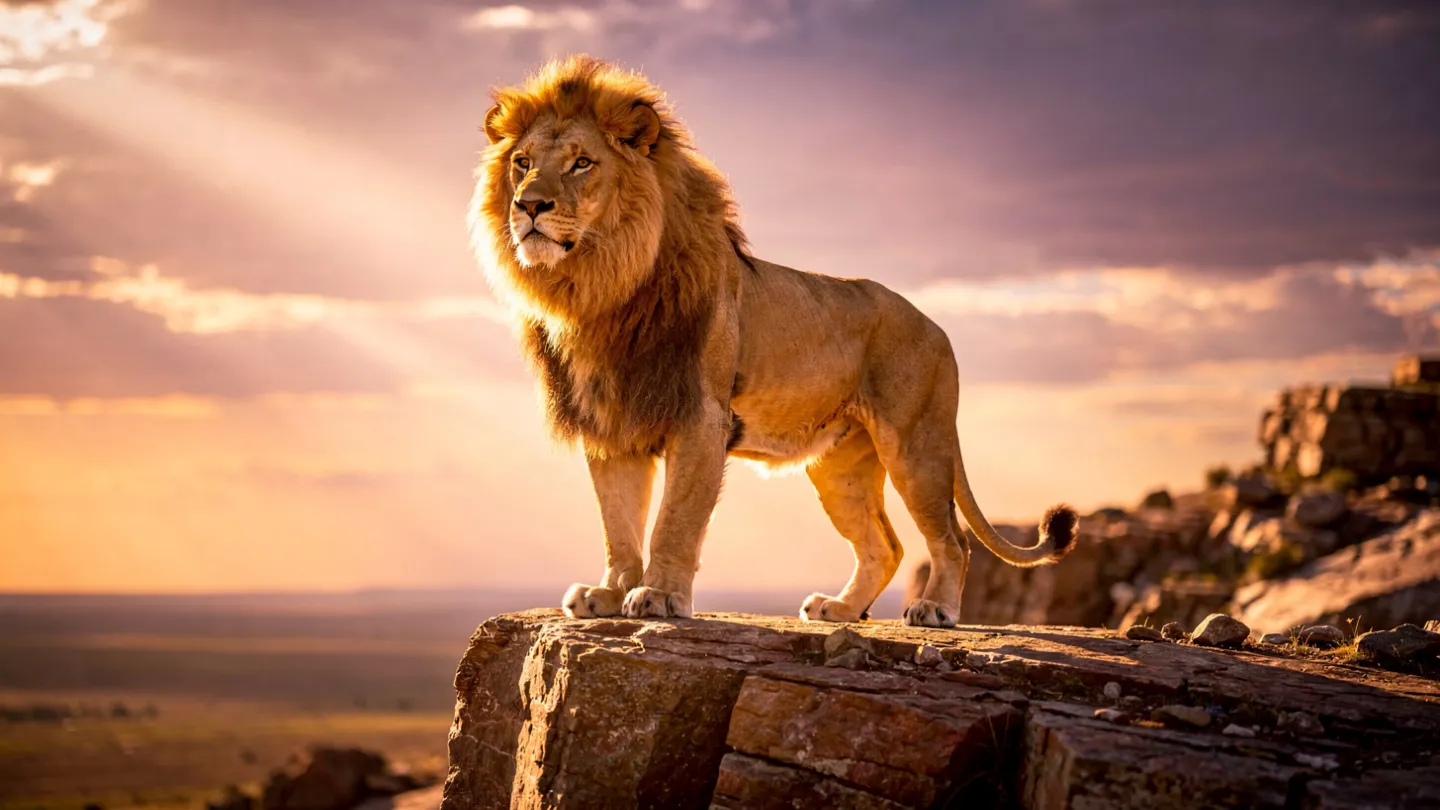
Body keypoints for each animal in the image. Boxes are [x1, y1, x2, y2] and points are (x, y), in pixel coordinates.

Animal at [469, 55, 1076, 627]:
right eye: (522, 163)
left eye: (582, 163)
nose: (528, 205)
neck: (601, 286)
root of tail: (937, 326)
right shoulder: (613, 424)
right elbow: (618, 522)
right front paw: (611, 594)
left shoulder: (700, 416)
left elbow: (674, 519)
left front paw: (660, 596)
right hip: (840, 469)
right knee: (886, 546)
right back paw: (839, 609)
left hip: (917, 444)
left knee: (953, 538)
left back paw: (936, 610)